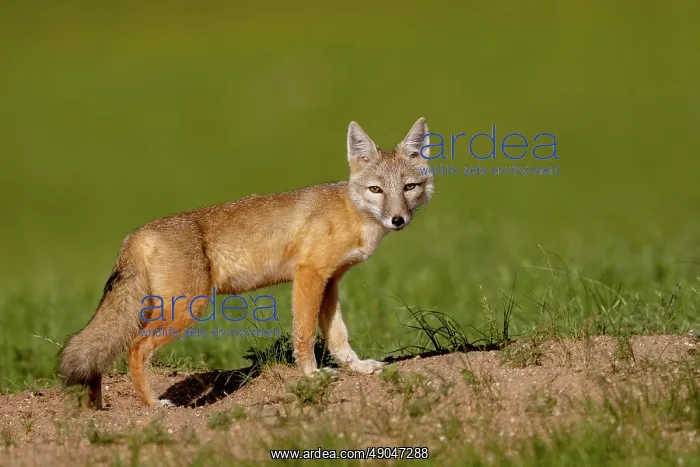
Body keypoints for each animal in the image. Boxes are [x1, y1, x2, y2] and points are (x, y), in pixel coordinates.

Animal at [56, 117, 435, 409]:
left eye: (409, 187)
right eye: (376, 190)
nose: (398, 220)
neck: (352, 213)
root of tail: (136, 233)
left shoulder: (331, 281)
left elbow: (338, 336)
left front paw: (357, 368)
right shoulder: (308, 275)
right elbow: (304, 334)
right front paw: (311, 376)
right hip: (186, 308)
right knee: (136, 348)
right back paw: (152, 405)